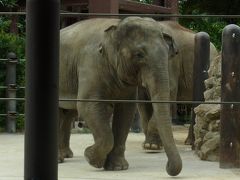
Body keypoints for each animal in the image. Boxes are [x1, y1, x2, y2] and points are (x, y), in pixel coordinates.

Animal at [58, 17, 182, 176]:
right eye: (139, 55)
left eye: (168, 55)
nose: (167, 167)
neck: (116, 24)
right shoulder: (90, 63)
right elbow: (88, 105)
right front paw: (91, 158)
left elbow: (125, 111)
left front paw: (117, 167)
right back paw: (60, 159)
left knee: (67, 113)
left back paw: (64, 156)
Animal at [139, 20, 219, 150]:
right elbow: (142, 101)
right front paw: (150, 144)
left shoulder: (172, 62)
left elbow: (169, 91)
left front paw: (152, 146)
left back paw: (190, 142)